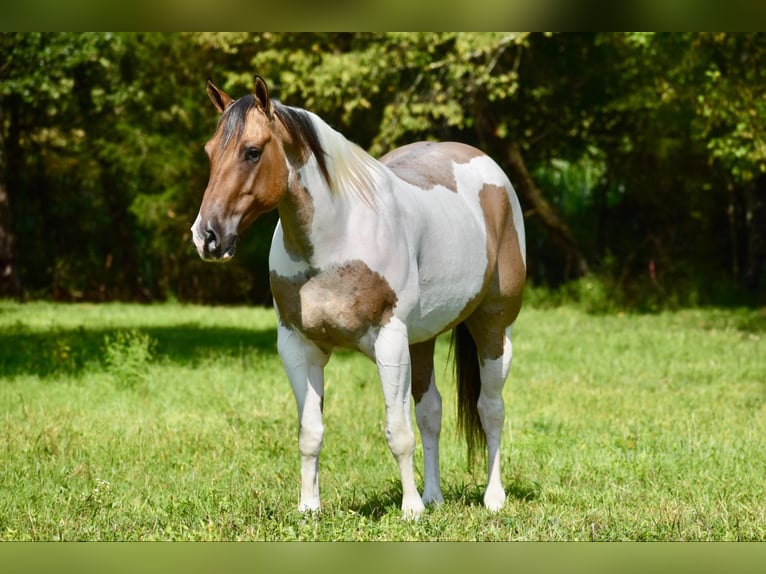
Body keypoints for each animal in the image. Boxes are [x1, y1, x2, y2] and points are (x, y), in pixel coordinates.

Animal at [192, 76, 528, 520]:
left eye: (252, 151)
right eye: (210, 152)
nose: (207, 236)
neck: (333, 242)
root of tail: (492, 174)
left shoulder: (389, 340)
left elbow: (397, 430)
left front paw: (410, 510)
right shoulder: (297, 346)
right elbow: (310, 432)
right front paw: (309, 508)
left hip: (492, 328)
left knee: (490, 409)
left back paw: (493, 498)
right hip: (422, 340)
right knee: (431, 412)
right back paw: (434, 496)